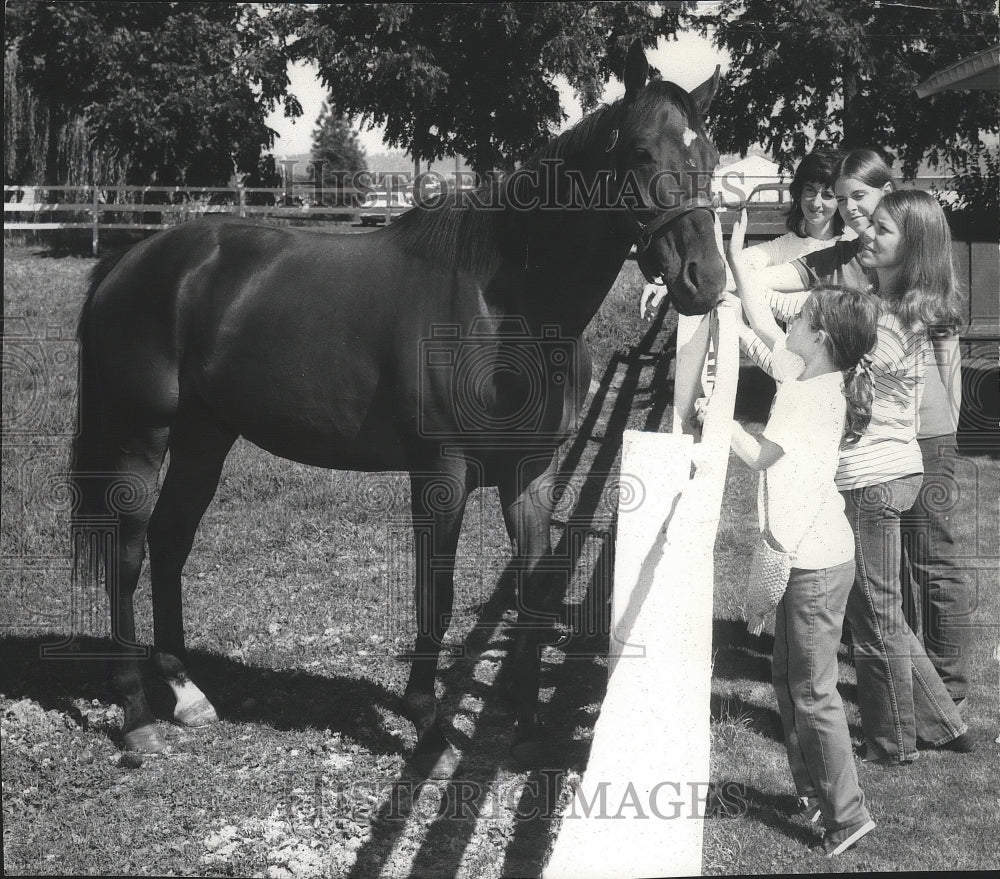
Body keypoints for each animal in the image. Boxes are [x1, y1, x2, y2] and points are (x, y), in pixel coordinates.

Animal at [70, 43, 728, 768]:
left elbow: (534, 589)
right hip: (141, 435)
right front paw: (427, 719)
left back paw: (185, 692)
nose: (706, 280)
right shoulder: (441, 474)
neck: (502, 307)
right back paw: (136, 713)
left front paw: (526, 727)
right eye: (640, 150)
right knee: (128, 552)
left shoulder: (531, 473)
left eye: (712, 154)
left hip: (203, 437)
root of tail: (132, 258)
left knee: (170, 539)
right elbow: (434, 592)